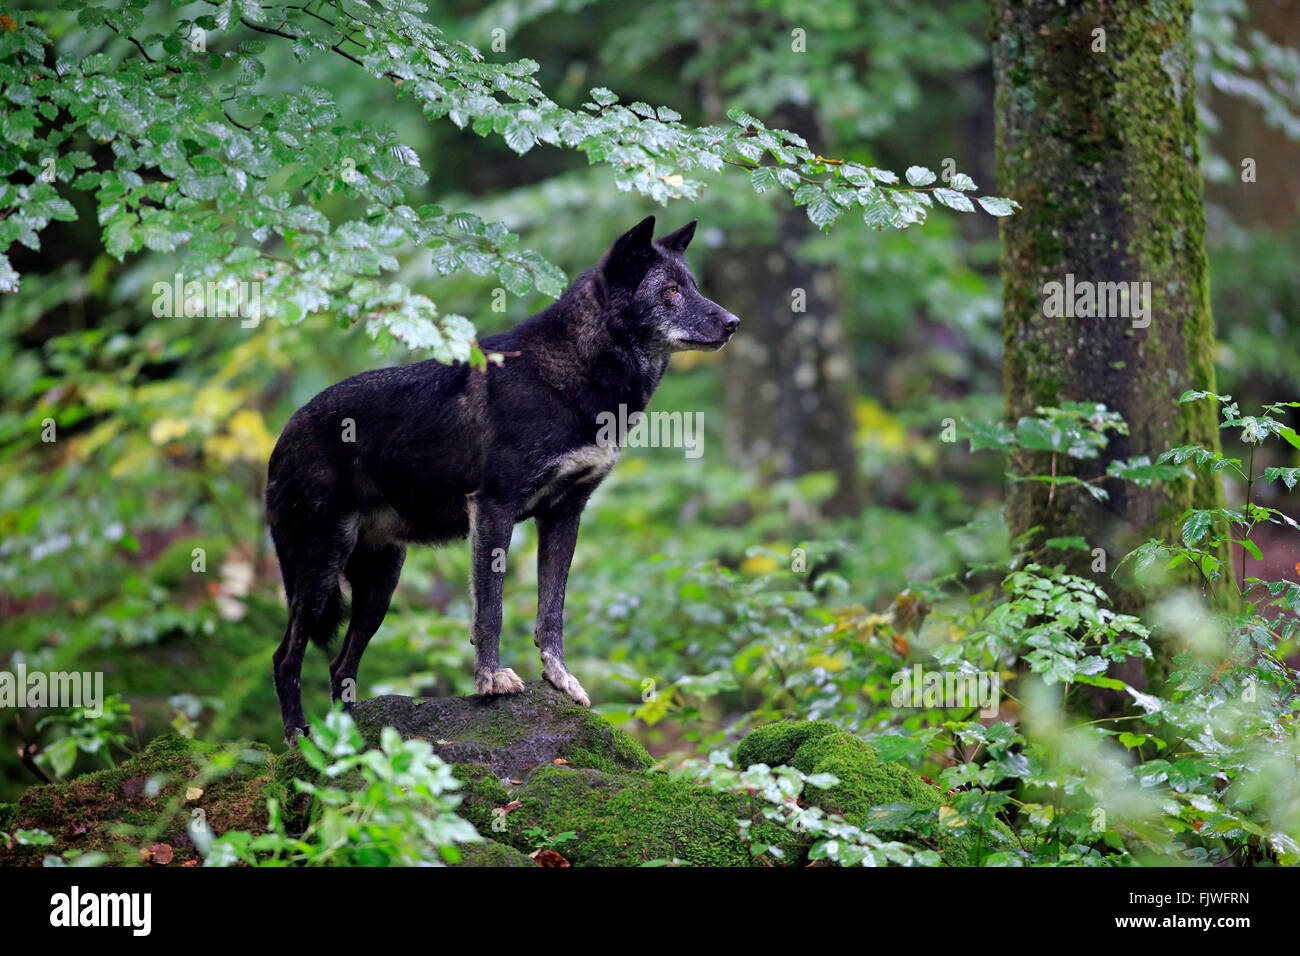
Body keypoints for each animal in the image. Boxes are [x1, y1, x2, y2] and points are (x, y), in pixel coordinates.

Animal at [266, 217, 743, 738]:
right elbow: (489, 611)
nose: (733, 323)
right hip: (320, 570)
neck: (574, 376)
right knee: (285, 658)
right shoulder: (493, 507)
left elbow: (551, 612)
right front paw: (492, 680)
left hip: (379, 585)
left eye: (694, 286)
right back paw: (298, 737)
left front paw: (560, 679)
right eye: (671, 291)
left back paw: (349, 745)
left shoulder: (564, 514)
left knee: (340, 668)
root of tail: (283, 433)